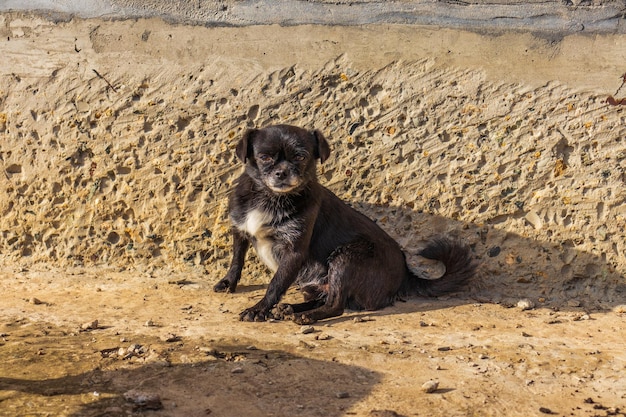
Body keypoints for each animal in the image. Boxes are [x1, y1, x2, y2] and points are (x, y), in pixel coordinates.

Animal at [212, 125, 476, 324]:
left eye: (300, 157)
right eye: (264, 157)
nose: (282, 172)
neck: (269, 197)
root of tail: (405, 276)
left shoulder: (293, 252)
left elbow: (275, 284)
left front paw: (259, 309)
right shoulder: (240, 230)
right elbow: (237, 259)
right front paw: (228, 282)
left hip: (346, 258)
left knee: (336, 304)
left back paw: (307, 316)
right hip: (316, 281)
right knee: (326, 297)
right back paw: (291, 309)